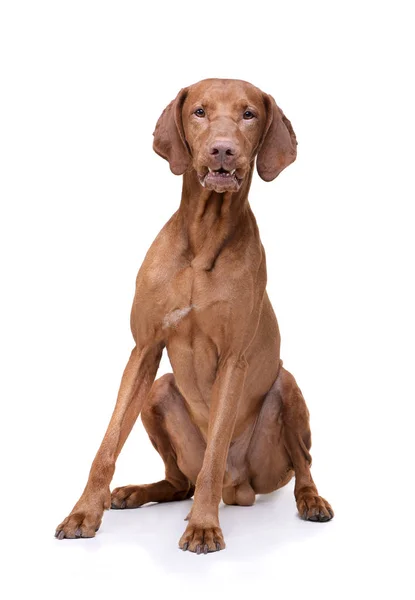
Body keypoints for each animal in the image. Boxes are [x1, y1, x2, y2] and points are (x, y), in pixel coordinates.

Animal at [55, 79, 334, 552]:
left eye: (248, 114)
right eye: (199, 112)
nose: (223, 149)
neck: (204, 238)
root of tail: (240, 490)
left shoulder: (234, 361)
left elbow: (215, 455)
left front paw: (204, 526)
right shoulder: (145, 349)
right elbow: (107, 446)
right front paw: (83, 513)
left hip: (285, 392)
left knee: (300, 464)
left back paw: (310, 500)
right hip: (160, 392)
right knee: (179, 480)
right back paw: (136, 493)